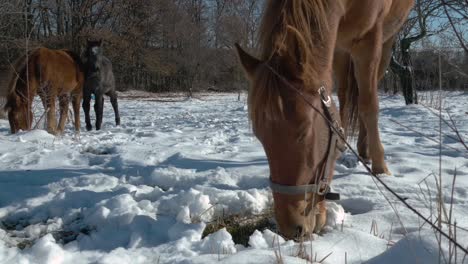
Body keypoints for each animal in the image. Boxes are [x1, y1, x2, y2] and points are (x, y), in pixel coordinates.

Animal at [236, 0, 412, 238]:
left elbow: (369, 104)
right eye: (259, 136)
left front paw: (381, 167)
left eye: (303, 132)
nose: (291, 229)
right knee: (346, 95)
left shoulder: (371, 40)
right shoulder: (335, 44)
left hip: (386, 42)